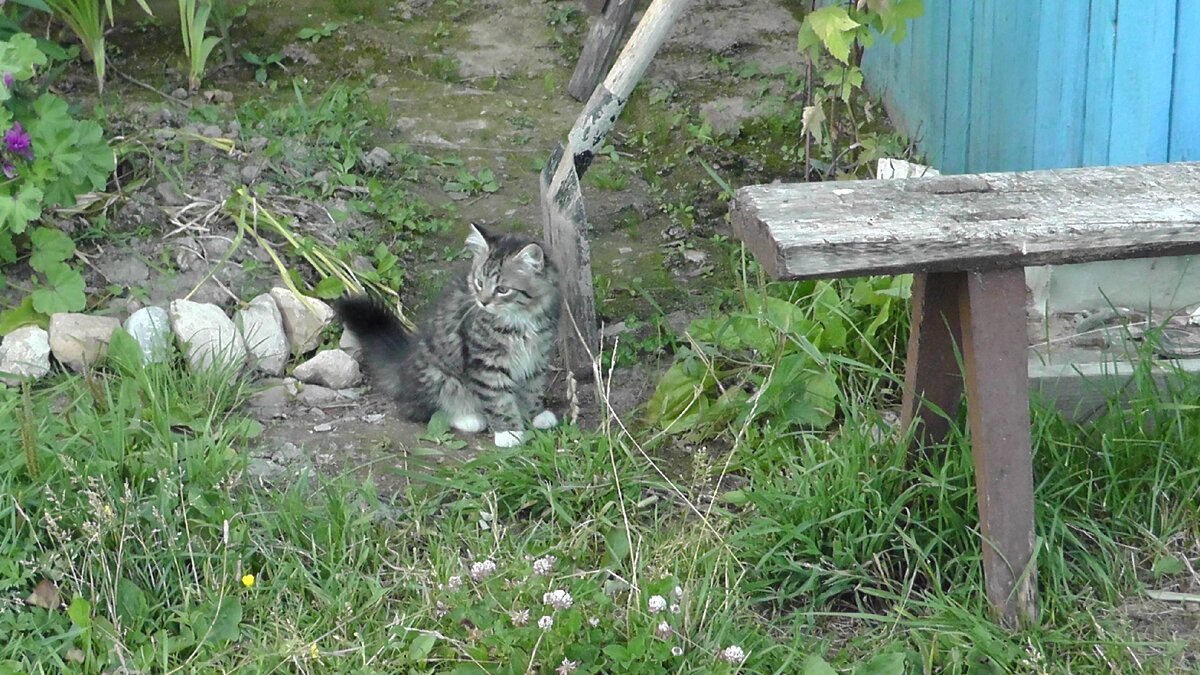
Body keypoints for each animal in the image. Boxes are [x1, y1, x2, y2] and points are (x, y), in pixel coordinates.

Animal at [336, 223, 559, 446]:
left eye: (502, 289)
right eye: (479, 282)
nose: (483, 302)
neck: (520, 319)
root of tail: (402, 368)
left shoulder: (538, 355)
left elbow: (533, 388)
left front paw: (534, 415)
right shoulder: (485, 362)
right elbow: (498, 399)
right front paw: (509, 433)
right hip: (441, 378)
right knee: (423, 409)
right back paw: (469, 418)